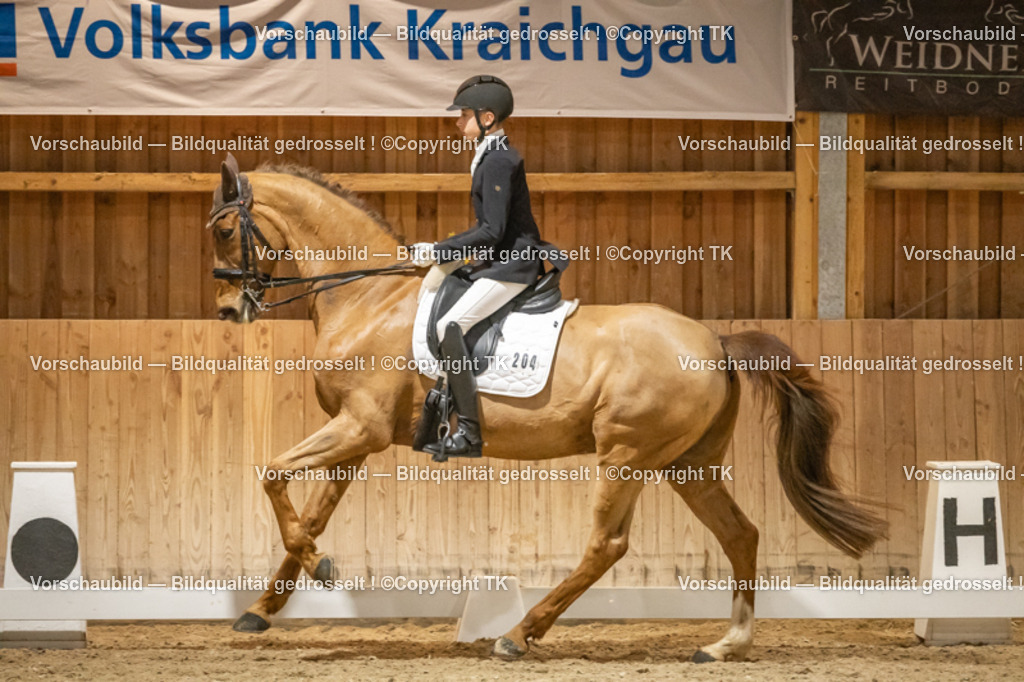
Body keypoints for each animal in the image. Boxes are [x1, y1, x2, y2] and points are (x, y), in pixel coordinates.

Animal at [207, 155, 887, 662]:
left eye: (223, 230)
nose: (228, 311)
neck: (367, 297)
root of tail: (715, 342)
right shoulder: (352, 437)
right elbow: (309, 514)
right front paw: (264, 608)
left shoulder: (359, 428)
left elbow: (271, 475)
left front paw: (321, 569)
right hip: (687, 463)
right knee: (739, 533)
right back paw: (727, 644)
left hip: (626, 455)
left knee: (607, 545)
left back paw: (518, 634)